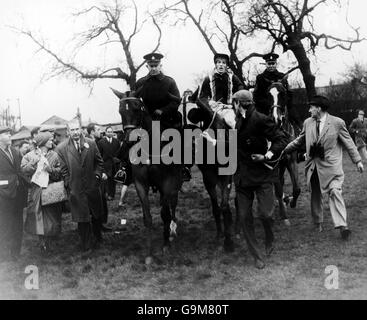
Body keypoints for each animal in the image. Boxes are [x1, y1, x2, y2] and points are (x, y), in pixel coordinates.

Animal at [110, 89, 183, 264]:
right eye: (120, 111)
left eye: (137, 107)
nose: (129, 141)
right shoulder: (140, 184)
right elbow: (148, 217)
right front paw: (149, 254)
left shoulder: (167, 183)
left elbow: (165, 213)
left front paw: (165, 245)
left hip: (174, 184)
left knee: (173, 205)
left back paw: (172, 231)